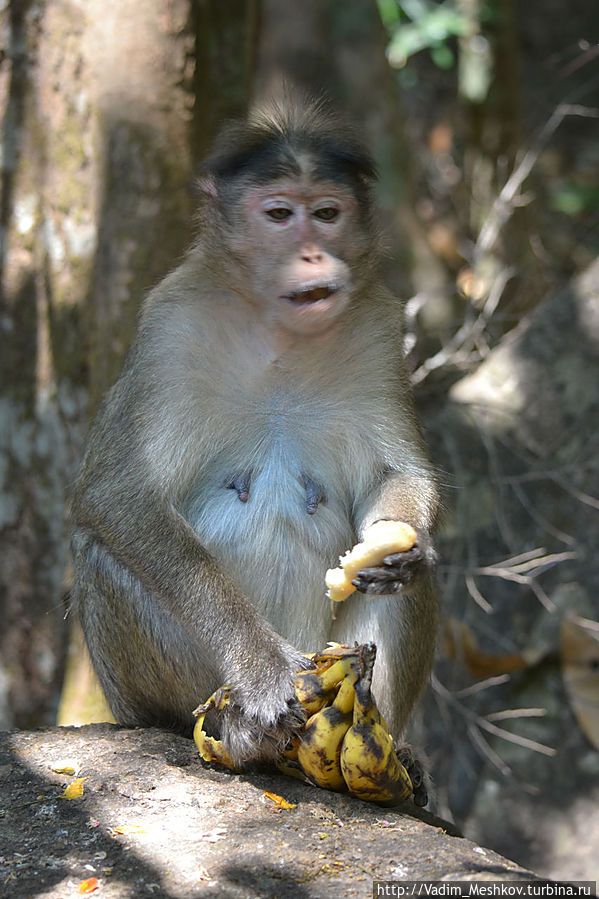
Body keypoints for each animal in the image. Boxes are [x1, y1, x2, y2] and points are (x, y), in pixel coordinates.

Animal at [70, 96, 438, 772]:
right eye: (279, 215)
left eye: (327, 213)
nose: (314, 256)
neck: (280, 339)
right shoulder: (170, 327)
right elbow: (118, 496)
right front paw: (264, 669)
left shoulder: (377, 327)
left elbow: (396, 476)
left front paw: (401, 546)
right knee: (103, 553)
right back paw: (239, 732)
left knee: (412, 585)